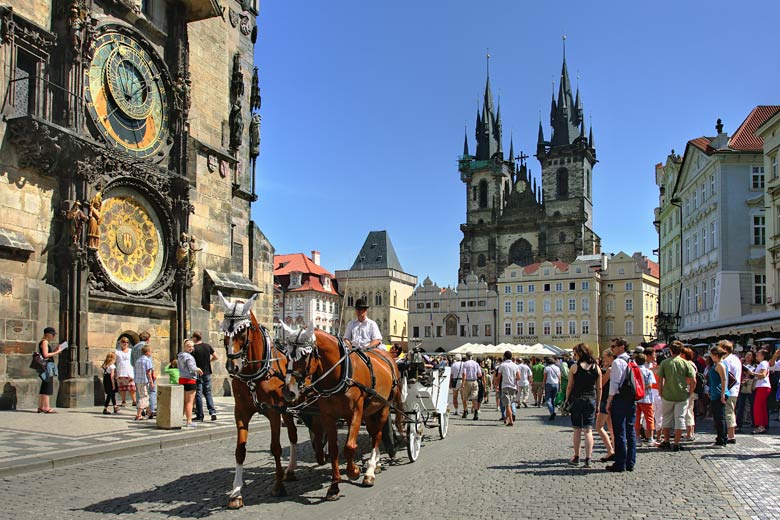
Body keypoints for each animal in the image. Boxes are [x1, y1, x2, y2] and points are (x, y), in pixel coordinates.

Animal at [216, 292, 322, 508]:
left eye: (242, 331)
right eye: (224, 331)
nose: (232, 367)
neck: (254, 373)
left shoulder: (274, 412)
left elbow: (276, 448)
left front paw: (278, 486)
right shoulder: (241, 412)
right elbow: (240, 450)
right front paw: (236, 493)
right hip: (290, 408)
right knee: (294, 435)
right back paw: (291, 469)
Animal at [282, 324, 406, 500]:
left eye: (304, 355)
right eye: (286, 354)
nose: (288, 392)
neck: (340, 374)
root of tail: (388, 356)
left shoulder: (355, 413)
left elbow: (349, 446)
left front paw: (354, 471)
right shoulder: (328, 416)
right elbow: (334, 449)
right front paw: (334, 487)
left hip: (384, 406)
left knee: (378, 435)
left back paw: (370, 472)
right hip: (369, 411)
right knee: (373, 433)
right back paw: (376, 464)